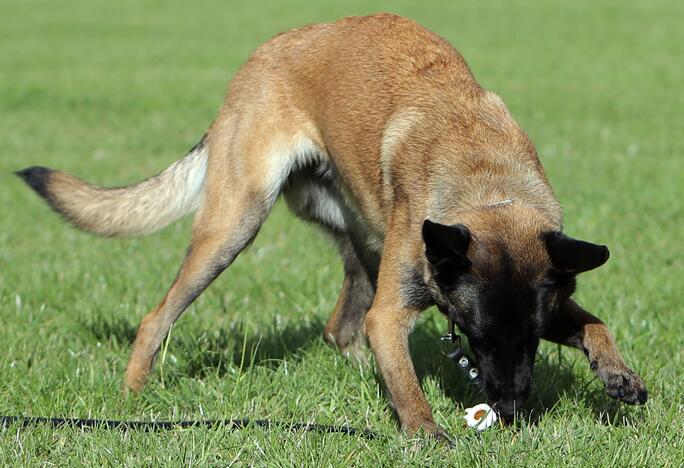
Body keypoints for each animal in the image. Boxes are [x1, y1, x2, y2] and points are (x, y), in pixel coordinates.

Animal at [16, 14, 648, 438]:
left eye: (533, 341)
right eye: (478, 338)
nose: (513, 412)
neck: (486, 181)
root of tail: (256, 62)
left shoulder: (542, 291)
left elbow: (593, 323)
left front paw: (618, 375)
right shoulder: (395, 309)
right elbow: (407, 384)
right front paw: (426, 434)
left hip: (364, 242)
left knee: (343, 327)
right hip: (235, 223)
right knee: (157, 317)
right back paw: (133, 394)